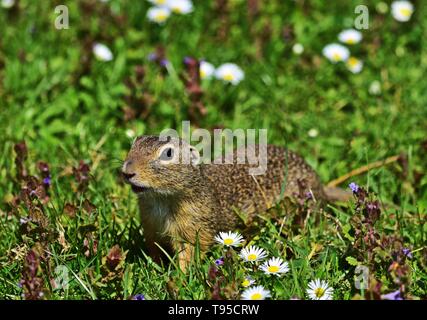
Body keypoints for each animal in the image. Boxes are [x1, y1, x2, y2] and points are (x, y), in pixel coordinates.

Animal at [122, 134, 350, 268]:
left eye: (168, 153)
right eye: (134, 144)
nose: (127, 171)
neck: (160, 199)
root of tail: (320, 185)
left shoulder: (194, 228)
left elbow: (189, 253)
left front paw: (181, 278)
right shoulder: (150, 225)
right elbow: (154, 248)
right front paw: (155, 268)